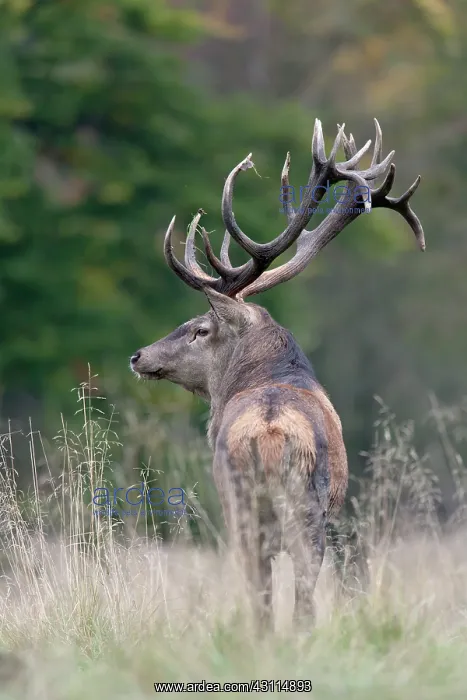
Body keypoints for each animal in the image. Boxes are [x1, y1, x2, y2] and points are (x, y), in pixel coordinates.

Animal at [130, 119, 425, 632]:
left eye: (199, 328)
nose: (139, 355)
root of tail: (268, 433)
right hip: (291, 513)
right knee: (294, 596)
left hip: (257, 508)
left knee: (278, 595)